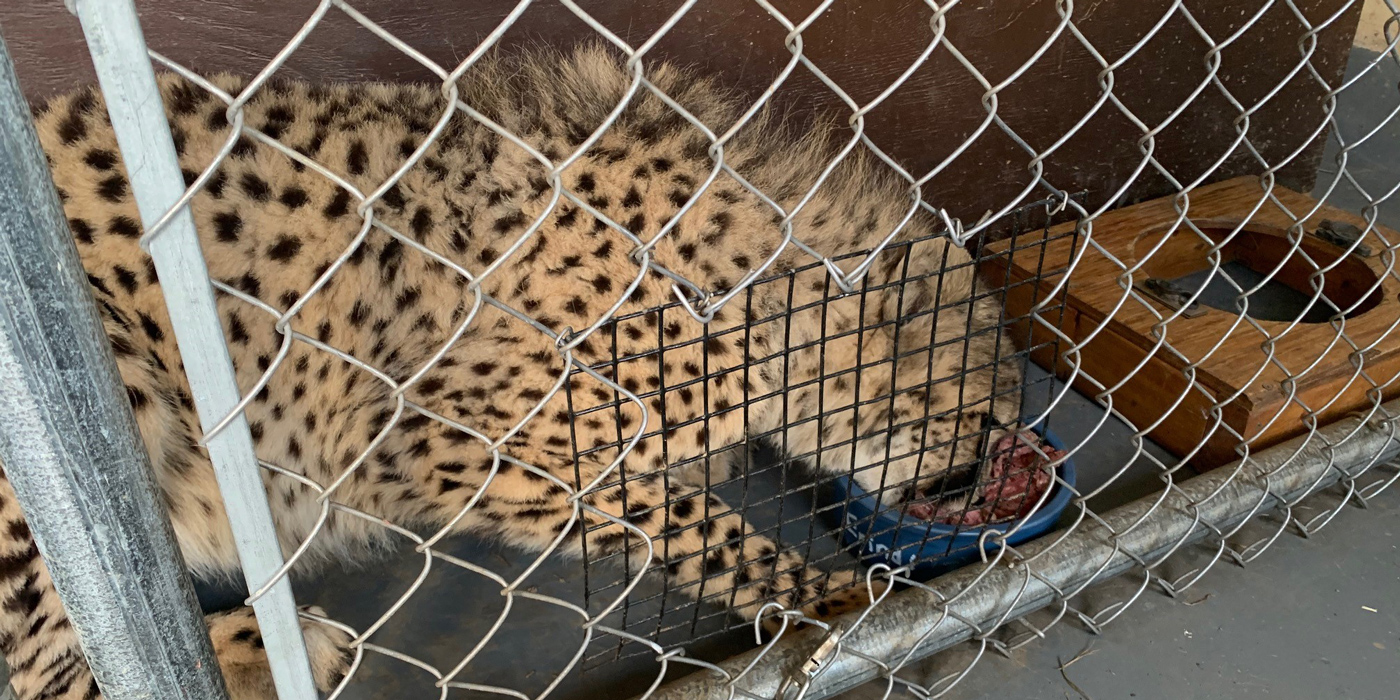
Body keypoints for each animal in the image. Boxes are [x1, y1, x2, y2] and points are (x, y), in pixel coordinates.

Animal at [5, 45, 1024, 700]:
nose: (1005, 468)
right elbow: (706, 531)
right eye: (983, 415)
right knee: (51, 678)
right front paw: (836, 604)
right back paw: (271, 650)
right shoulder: (462, 454)